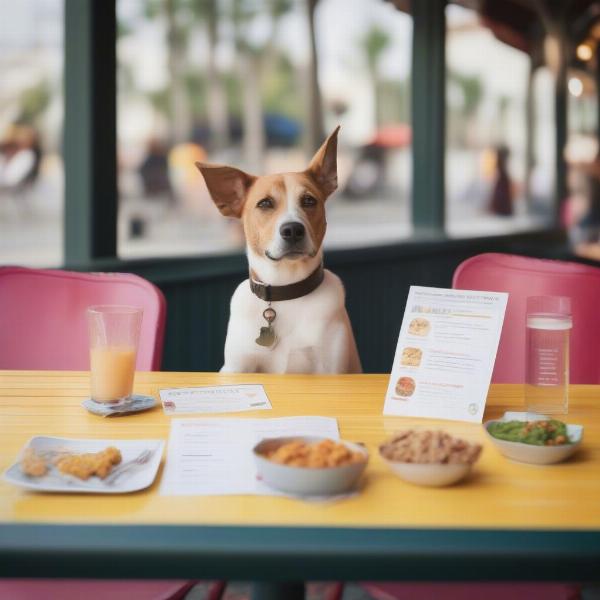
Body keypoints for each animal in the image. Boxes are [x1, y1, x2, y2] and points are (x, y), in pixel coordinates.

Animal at [198, 126, 360, 372]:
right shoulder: (236, 367)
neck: (285, 291)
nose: (293, 230)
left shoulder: (332, 369)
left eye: (309, 201)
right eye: (265, 203)